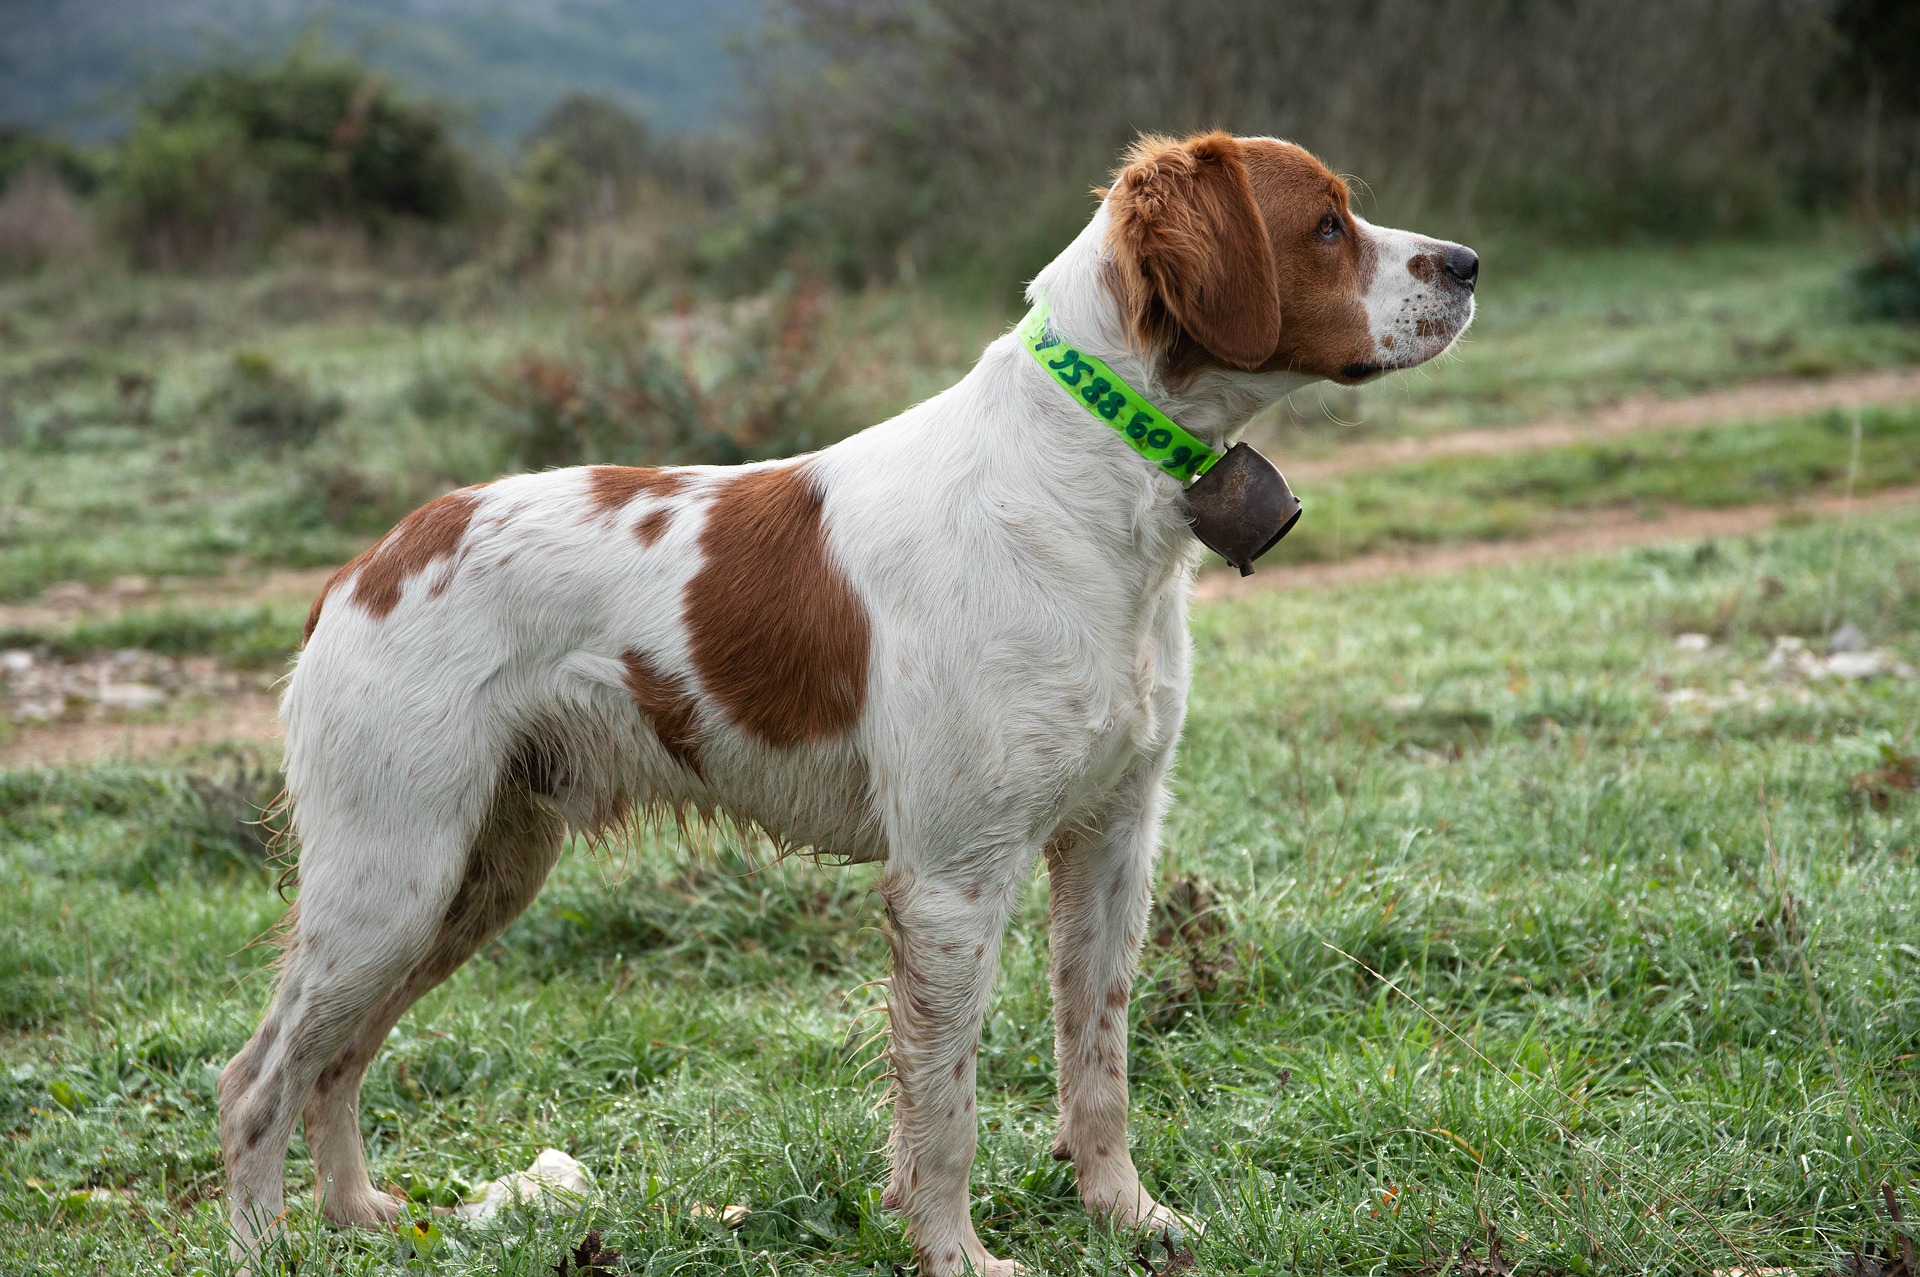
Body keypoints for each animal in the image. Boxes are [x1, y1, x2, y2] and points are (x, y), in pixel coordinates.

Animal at [224, 129, 1474, 1267]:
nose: (1467, 262)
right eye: (1327, 223)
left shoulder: (1113, 843)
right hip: (393, 875)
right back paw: (267, 1242)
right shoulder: (951, 879)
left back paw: (359, 1213)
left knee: (334, 1060)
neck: (1083, 481)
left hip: (475, 873)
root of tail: (364, 565)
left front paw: (1130, 1216)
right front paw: (957, 1253)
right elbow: (945, 1104)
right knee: (256, 1078)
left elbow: (1097, 1063)